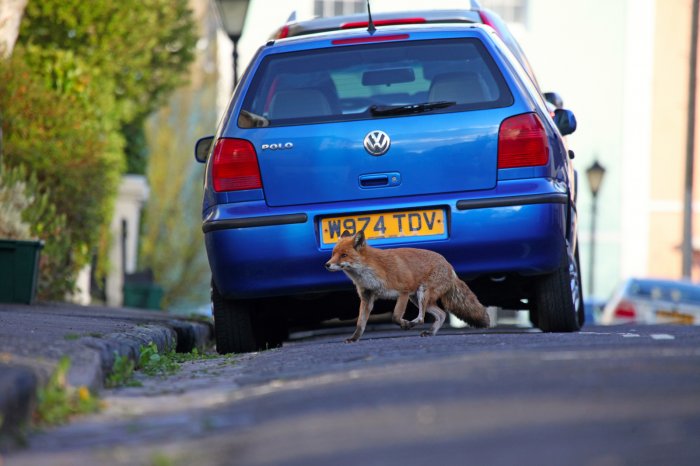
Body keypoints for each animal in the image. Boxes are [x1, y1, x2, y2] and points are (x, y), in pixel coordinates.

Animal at [326, 230, 490, 342]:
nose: (326, 265)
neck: (370, 272)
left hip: (421, 294)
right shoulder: (367, 298)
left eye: (344, 255)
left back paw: (411, 325)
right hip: (417, 299)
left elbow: (395, 317)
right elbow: (360, 323)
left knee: (422, 318)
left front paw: (404, 323)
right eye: (333, 254)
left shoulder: (403, 291)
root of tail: (449, 265)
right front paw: (354, 338)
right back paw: (430, 332)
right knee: (441, 314)